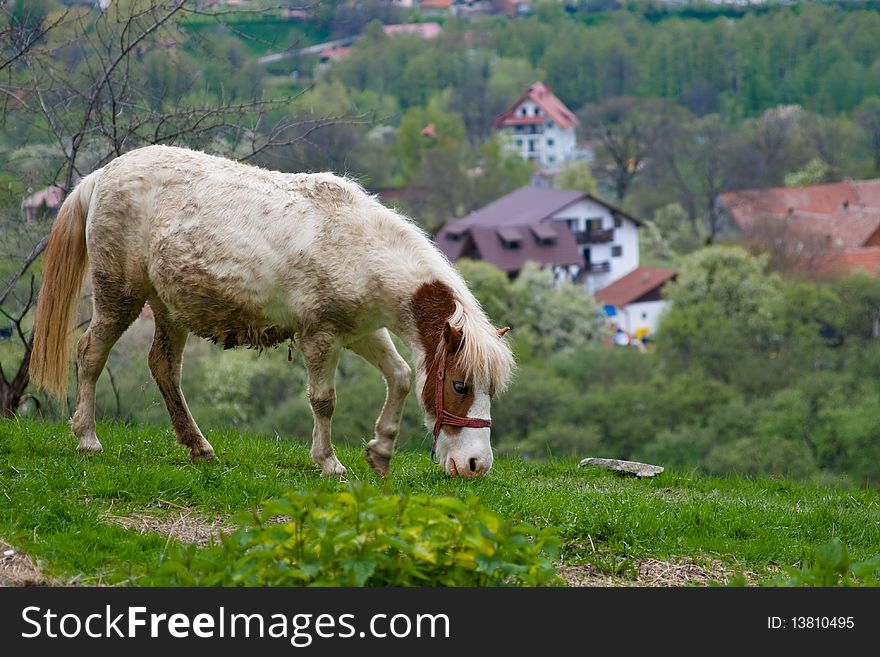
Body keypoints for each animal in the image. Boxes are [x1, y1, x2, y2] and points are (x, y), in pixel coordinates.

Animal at [31, 145, 516, 476]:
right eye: (459, 385)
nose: (476, 465)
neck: (359, 246)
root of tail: (100, 176)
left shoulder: (362, 332)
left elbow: (399, 376)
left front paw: (380, 451)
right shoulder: (320, 337)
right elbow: (324, 401)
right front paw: (328, 462)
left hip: (168, 309)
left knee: (163, 367)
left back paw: (198, 446)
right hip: (119, 297)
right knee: (90, 354)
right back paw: (88, 438)